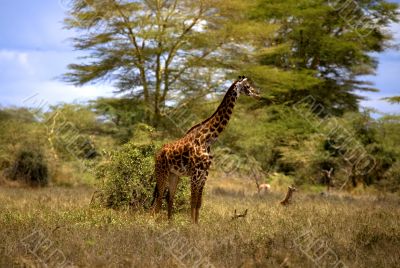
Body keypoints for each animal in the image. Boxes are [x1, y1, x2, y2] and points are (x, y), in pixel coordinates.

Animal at [150, 76, 260, 224]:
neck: (208, 138)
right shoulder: (195, 173)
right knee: (159, 197)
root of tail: (157, 154)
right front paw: (191, 225)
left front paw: (197, 224)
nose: (258, 94)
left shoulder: (204, 174)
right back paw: (154, 222)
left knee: (169, 197)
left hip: (174, 175)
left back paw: (170, 223)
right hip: (162, 172)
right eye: (247, 86)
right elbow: (192, 201)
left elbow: (198, 203)